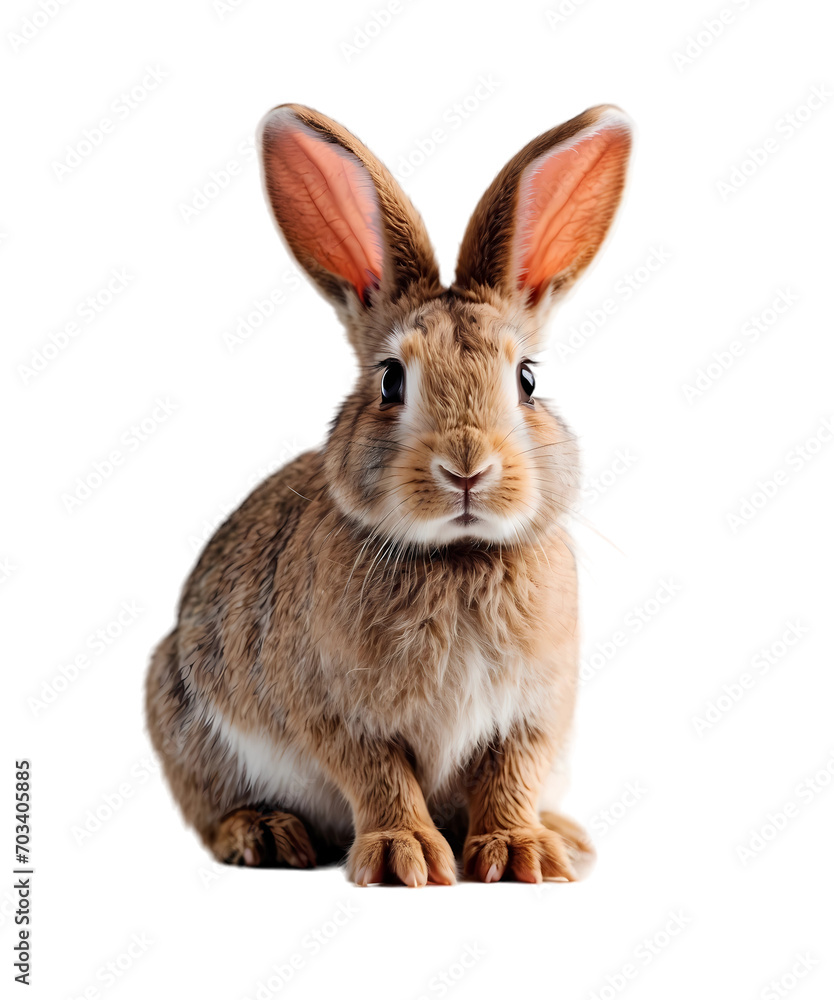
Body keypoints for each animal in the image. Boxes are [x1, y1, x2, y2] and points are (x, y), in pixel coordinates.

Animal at [146, 101, 632, 886]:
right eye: (391, 381)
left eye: (527, 379)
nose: (466, 468)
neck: (458, 557)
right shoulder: (342, 715)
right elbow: (380, 777)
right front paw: (408, 859)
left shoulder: (534, 712)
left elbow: (511, 775)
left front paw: (521, 853)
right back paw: (266, 834)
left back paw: (563, 834)